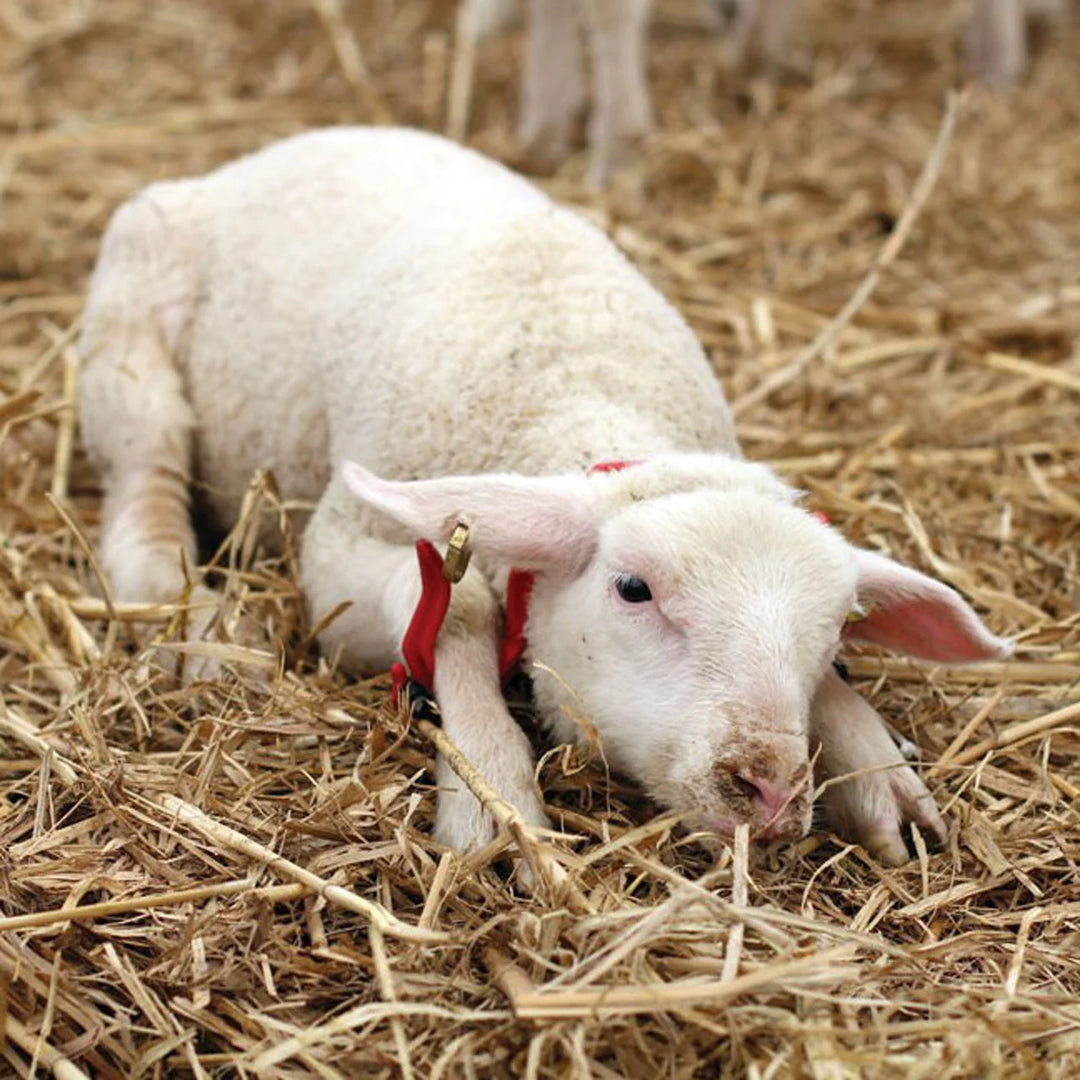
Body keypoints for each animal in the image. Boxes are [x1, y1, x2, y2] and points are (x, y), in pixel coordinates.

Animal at [79, 126, 1011, 866]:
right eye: (633, 589)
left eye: (834, 631)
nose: (771, 789)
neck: (582, 396)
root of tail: (269, 154)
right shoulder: (344, 546)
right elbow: (454, 612)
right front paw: (491, 792)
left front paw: (875, 766)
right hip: (130, 335)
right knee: (142, 498)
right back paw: (201, 625)